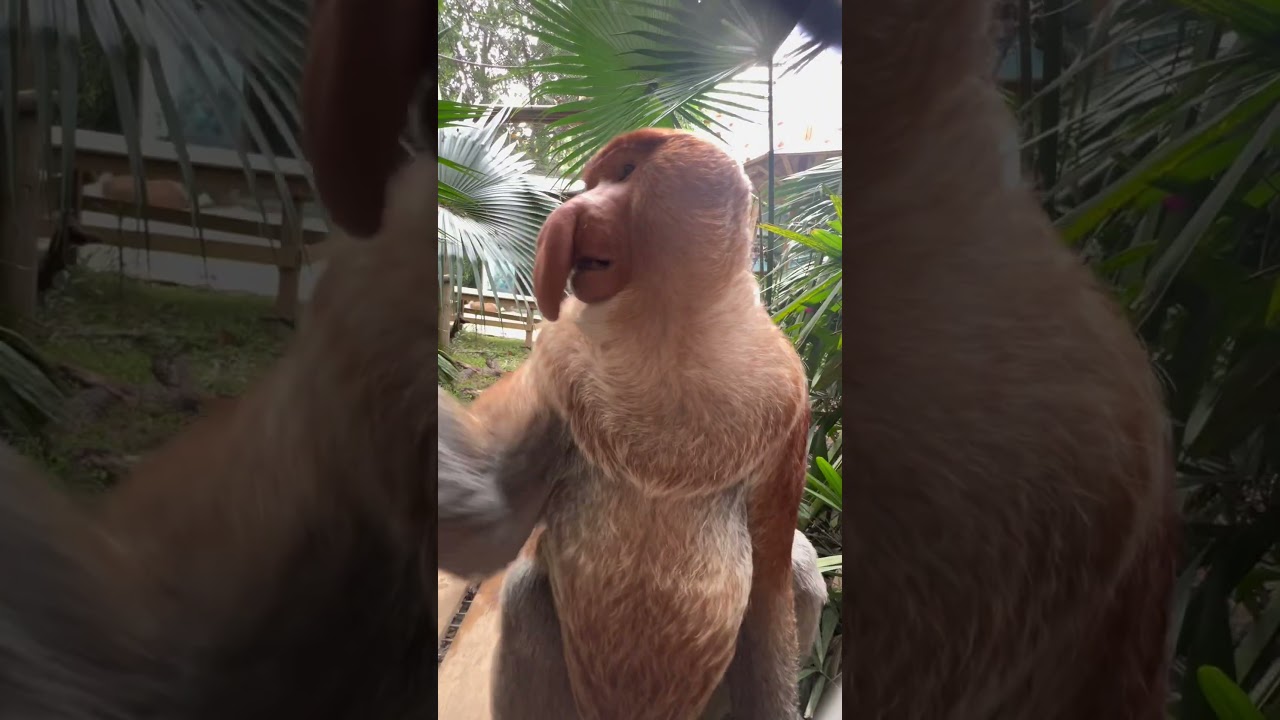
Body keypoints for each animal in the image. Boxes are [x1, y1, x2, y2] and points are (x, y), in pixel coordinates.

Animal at [435, 127, 816, 720]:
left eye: (627, 172)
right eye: (595, 180)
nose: (570, 211)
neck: (667, 338)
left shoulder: (787, 403)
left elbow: (771, 588)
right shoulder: (558, 368)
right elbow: (487, 527)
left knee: (802, 568)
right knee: (524, 592)